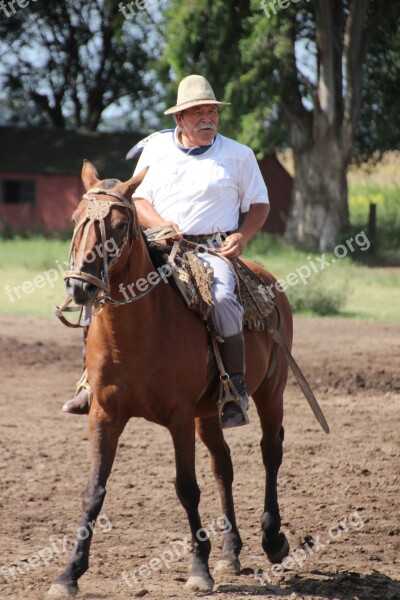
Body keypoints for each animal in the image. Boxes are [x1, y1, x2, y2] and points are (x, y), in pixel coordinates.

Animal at [48, 162, 294, 596]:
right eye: (76, 219)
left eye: (119, 224)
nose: (79, 286)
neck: (137, 332)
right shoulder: (104, 415)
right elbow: (93, 491)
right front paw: (69, 574)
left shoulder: (178, 418)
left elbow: (187, 488)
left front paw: (199, 569)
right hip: (209, 413)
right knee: (223, 464)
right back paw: (231, 551)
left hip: (271, 392)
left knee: (270, 451)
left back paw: (272, 539)